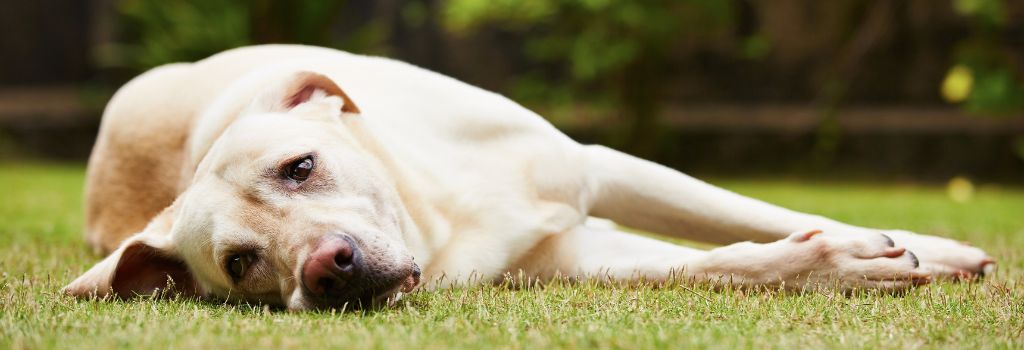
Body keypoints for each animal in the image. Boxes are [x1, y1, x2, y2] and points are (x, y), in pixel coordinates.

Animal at [61, 45, 991, 311]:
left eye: (300, 167)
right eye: (243, 264)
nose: (327, 271)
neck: (439, 215)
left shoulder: (602, 170)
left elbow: (744, 213)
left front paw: (925, 244)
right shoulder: (570, 257)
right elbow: (728, 260)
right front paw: (840, 263)